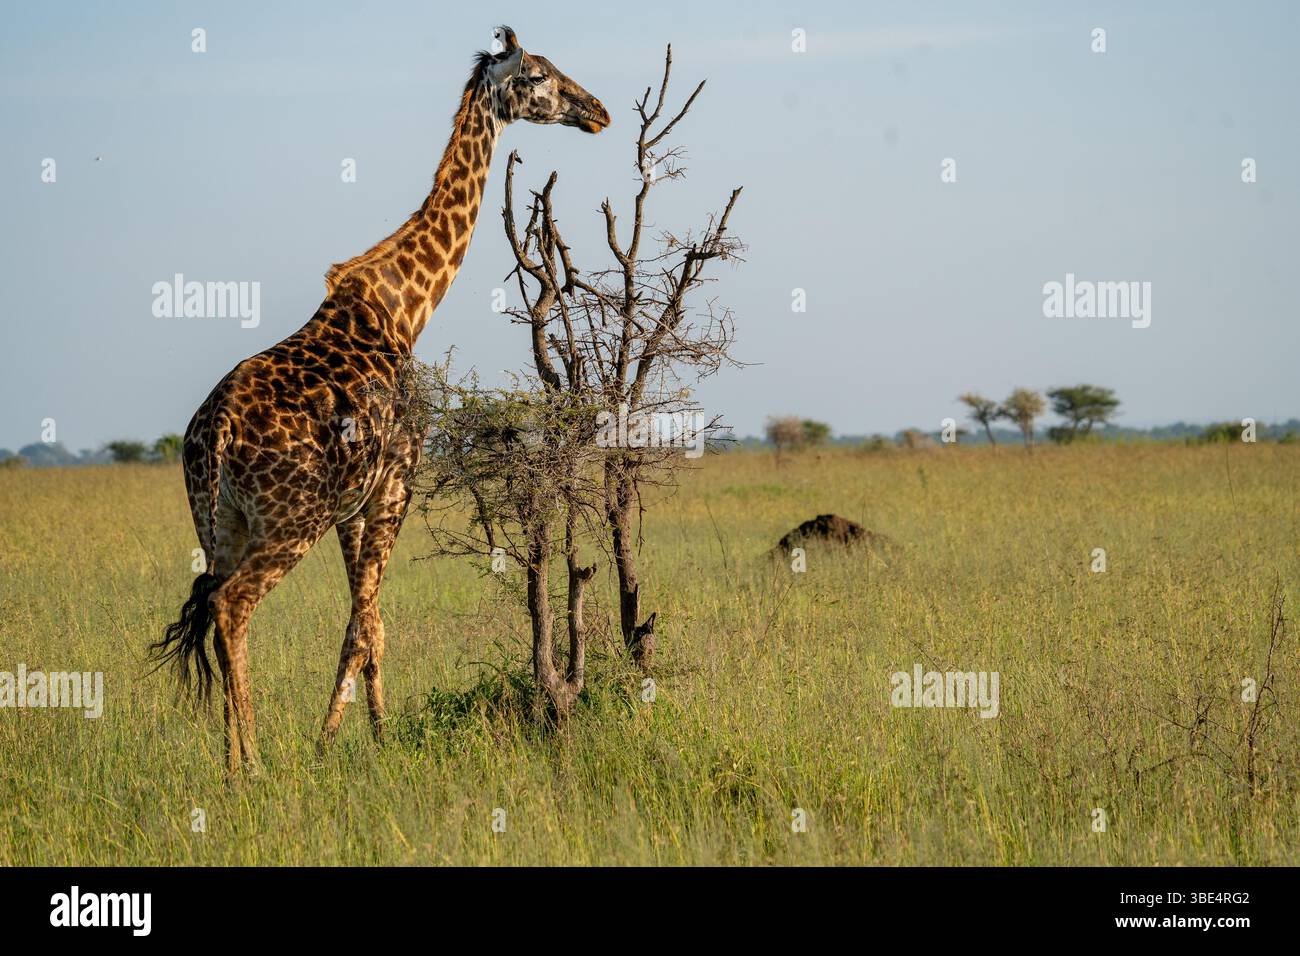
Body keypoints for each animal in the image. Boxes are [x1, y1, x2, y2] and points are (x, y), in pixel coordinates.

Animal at [151, 26, 609, 774]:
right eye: (539, 73)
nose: (597, 110)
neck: (405, 306)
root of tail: (214, 431)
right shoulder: (397, 478)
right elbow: (367, 623)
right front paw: (346, 742)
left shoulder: (354, 502)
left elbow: (367, 620)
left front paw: (367, 735)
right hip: (290, 519)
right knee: (234, 606)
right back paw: (254, 764)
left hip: (217, 520)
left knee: (214, 602)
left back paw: (228, 761)